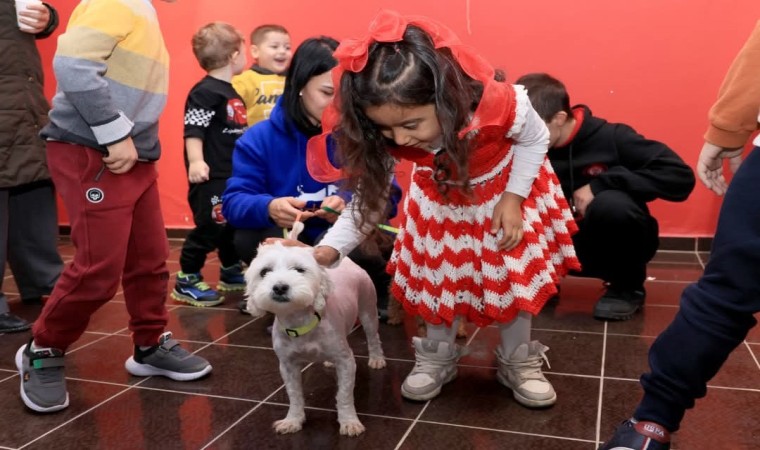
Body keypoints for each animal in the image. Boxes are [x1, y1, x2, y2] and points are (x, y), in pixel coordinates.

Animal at [245, 241, 386, 436]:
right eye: (264, 271)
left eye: (299, 270)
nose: (280, 287)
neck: (301, 322)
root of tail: (347, 261)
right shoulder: (287, 366)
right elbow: (294, 395)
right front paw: (293, 420)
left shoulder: (346, 361)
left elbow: (344, 395)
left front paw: (349, 421)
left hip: (368, 310)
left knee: (373, 337)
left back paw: (377, 359)